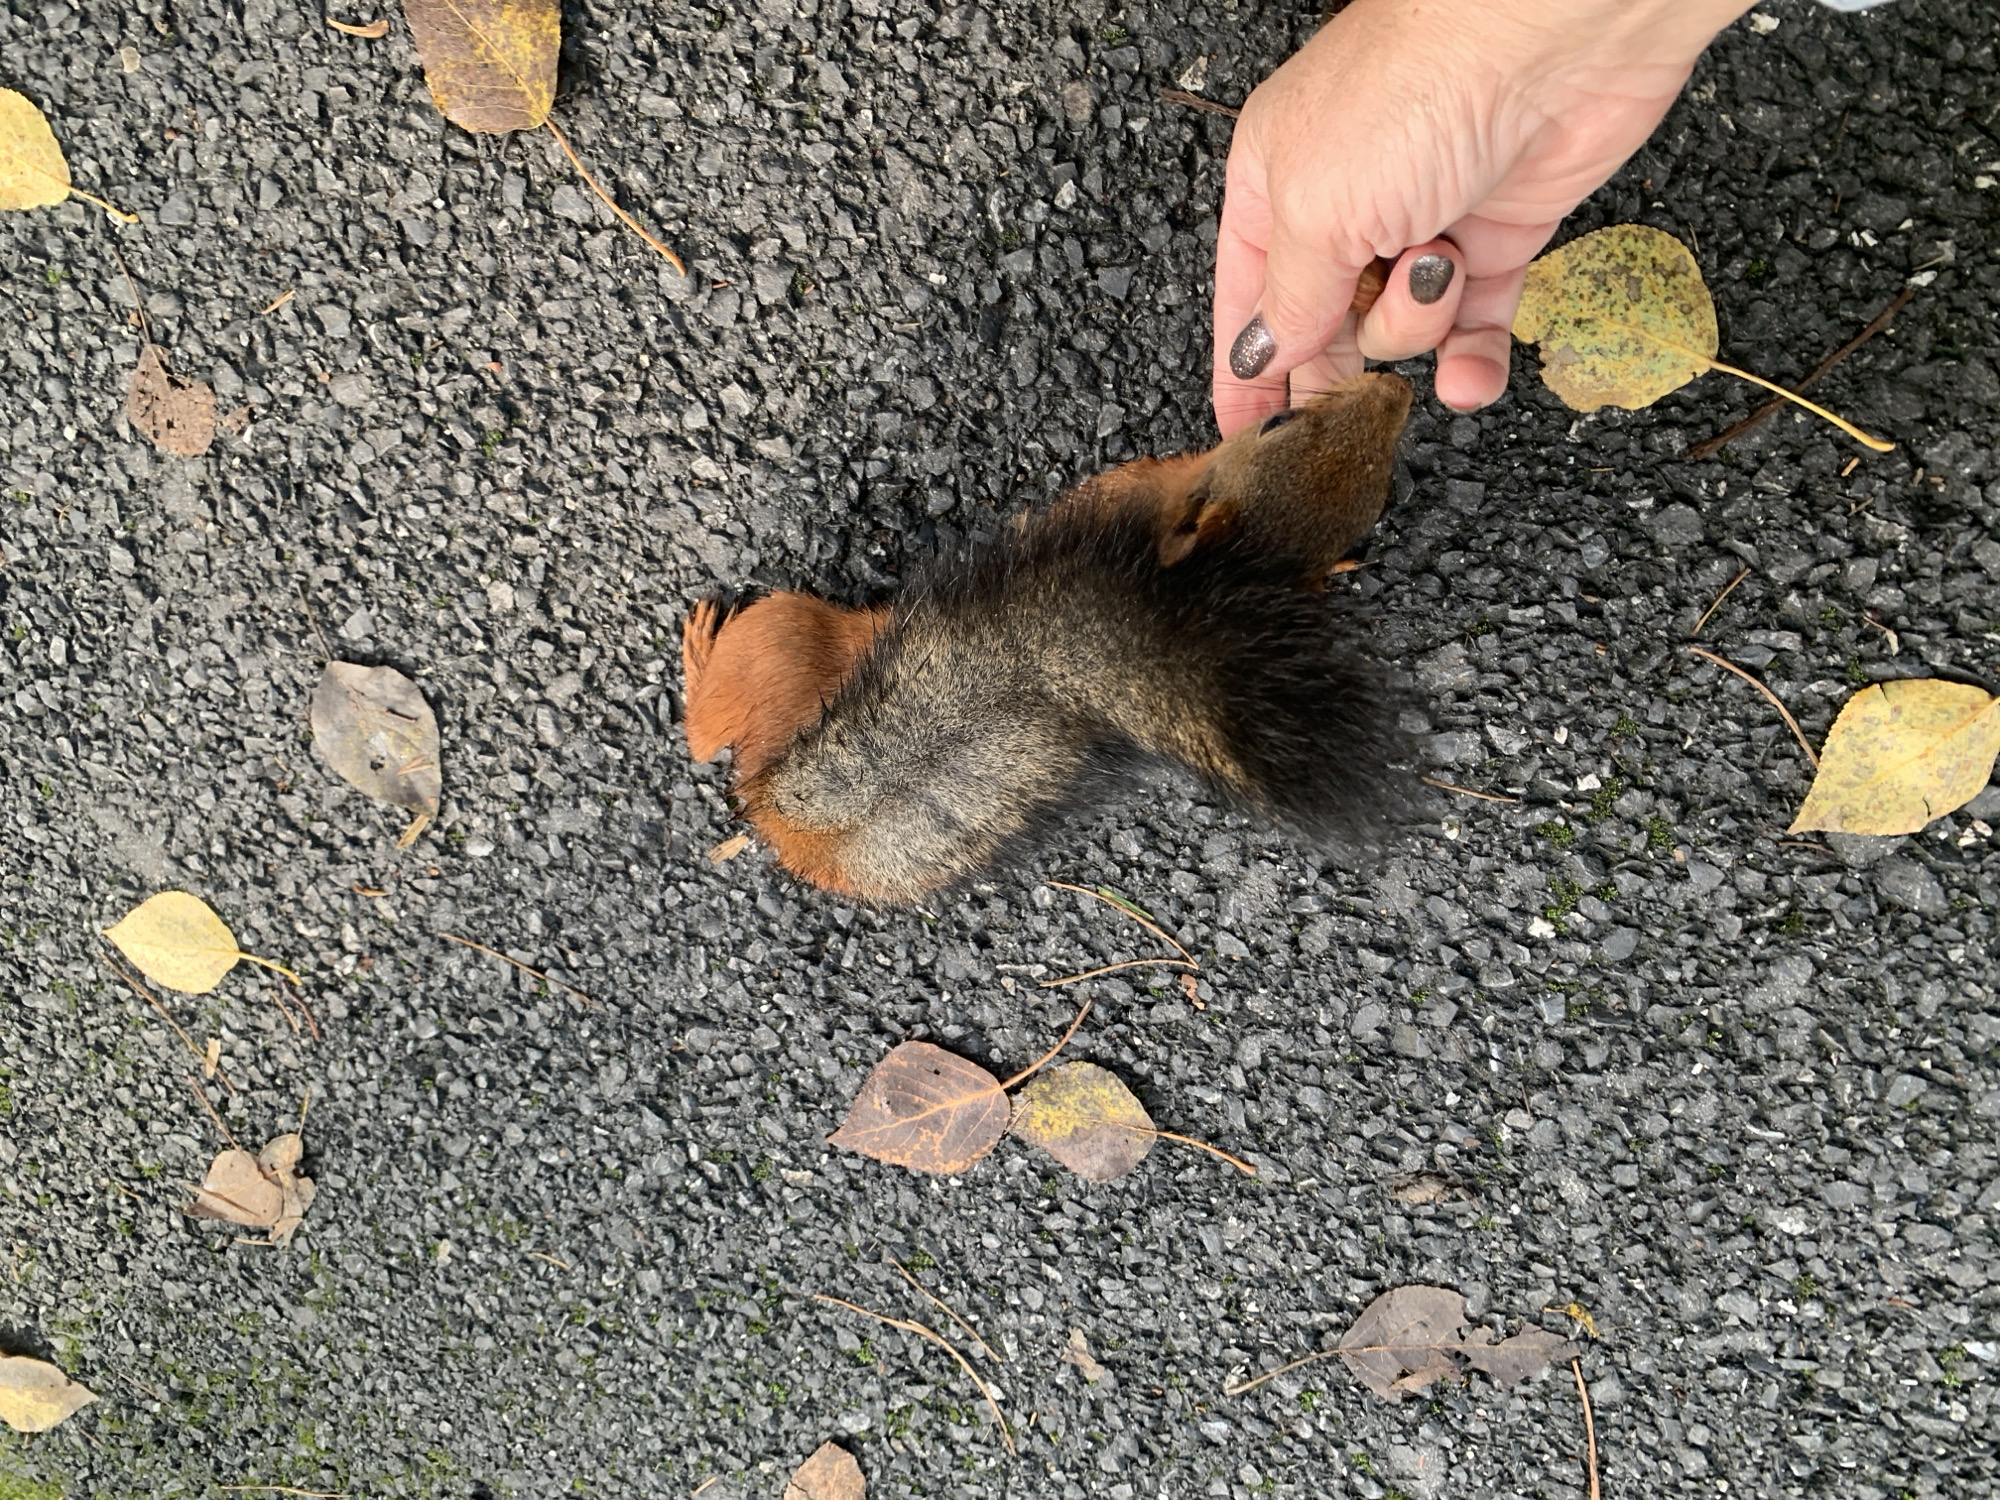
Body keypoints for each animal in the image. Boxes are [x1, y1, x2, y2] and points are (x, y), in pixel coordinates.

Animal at [680, 355, 1417, 905]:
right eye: (1281, 419)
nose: (1398, 385)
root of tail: (782, 815)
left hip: (778, 634)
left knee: (704, 734)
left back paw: (699, 648)